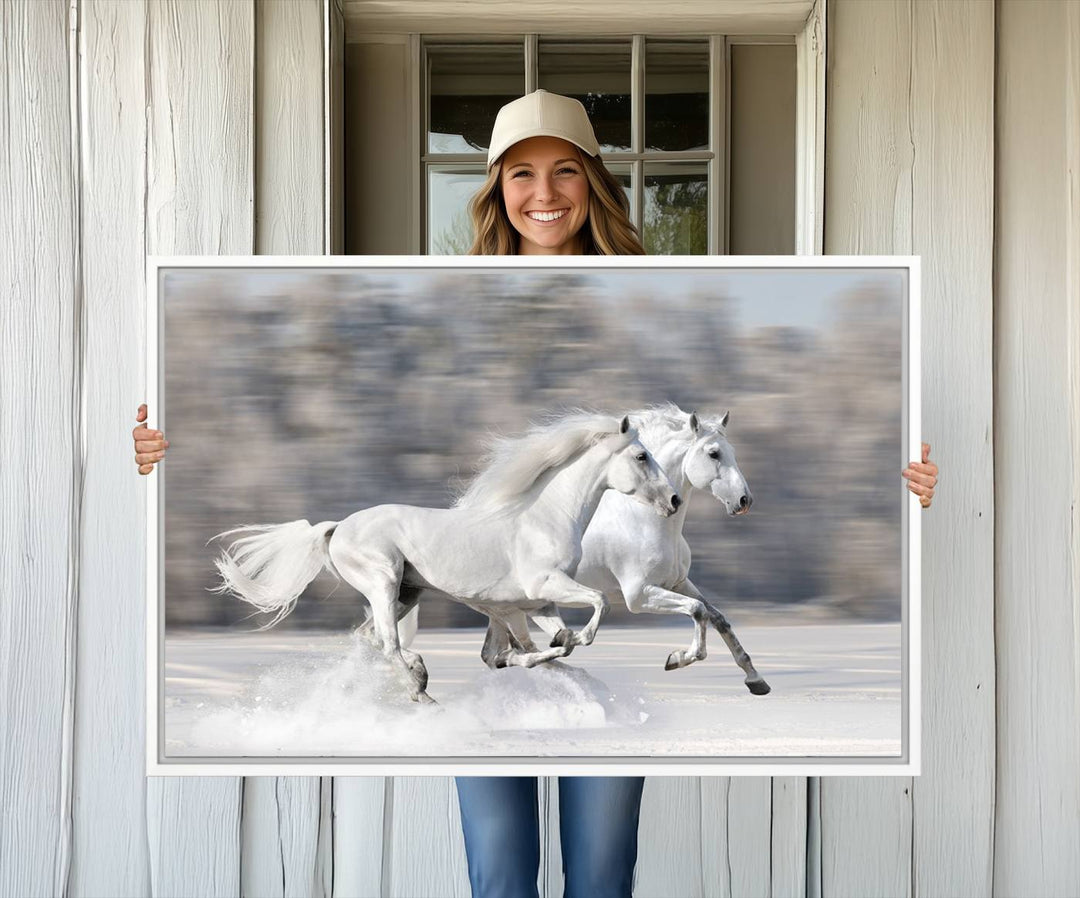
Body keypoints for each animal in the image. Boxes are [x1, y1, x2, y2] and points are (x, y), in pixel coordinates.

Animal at [211, 412, 678, 700]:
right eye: (641, 456)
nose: (673, 500)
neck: (545, 517)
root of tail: (337, 527)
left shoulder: (537, 603)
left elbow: (538, 646)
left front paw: (559, 652)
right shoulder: (544, 589)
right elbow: (594, 608)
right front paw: (572, 642)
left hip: (407, 593)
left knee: (370, 639)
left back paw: (420, 675)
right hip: (383, 583)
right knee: (386, 643)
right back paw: (421, 691)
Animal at [401, 406, 773, 695]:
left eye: (731, 450)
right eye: (714, 453)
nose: (744, 501)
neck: (645, 520)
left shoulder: (678, 582)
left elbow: (717, 617)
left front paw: (756, 680)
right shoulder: (639, 595)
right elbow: (697, 612)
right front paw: (677, 659)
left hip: (503, 608)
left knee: (496, 654)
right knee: (502, 653)